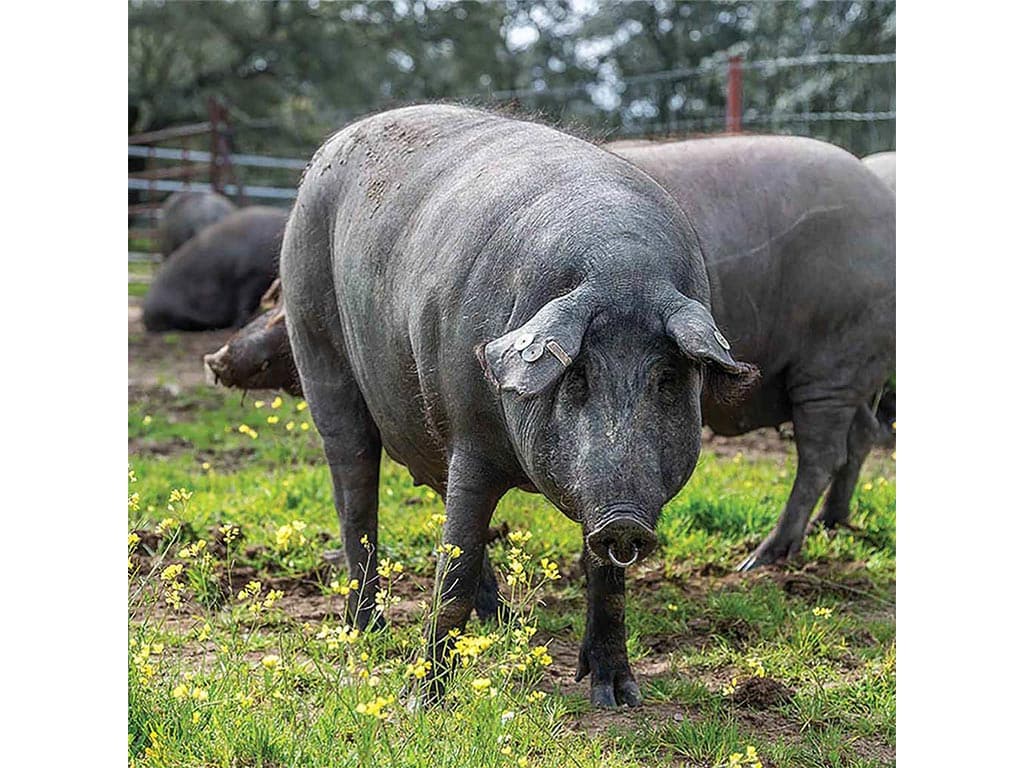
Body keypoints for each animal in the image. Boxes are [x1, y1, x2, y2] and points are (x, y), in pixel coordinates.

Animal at [278, 103, 753, 708]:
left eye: (667, 379)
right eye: (577, 378)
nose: (624, 521)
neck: (622, 270)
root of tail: (326, 152)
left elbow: (606, 581)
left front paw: (618, 698)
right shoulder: (470, 434)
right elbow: (452, 568)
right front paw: (421, 702)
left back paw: (506, 624)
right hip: (315, 338)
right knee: (355, 487)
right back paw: (368, 631)